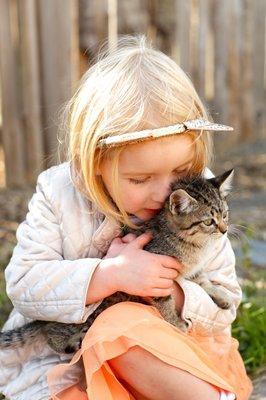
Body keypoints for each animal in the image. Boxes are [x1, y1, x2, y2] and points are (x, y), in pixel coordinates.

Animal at [0, 169, 234, 354]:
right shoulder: (157, 275)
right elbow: (166, 301)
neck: (194, 246)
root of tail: (42, 318)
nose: (224, 230)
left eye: (225, 215)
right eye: (208, 222)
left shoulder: (194, 269)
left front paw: (221, 297)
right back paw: (69, 343)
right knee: (52, 334)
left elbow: (204, 281)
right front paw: (175, 322)